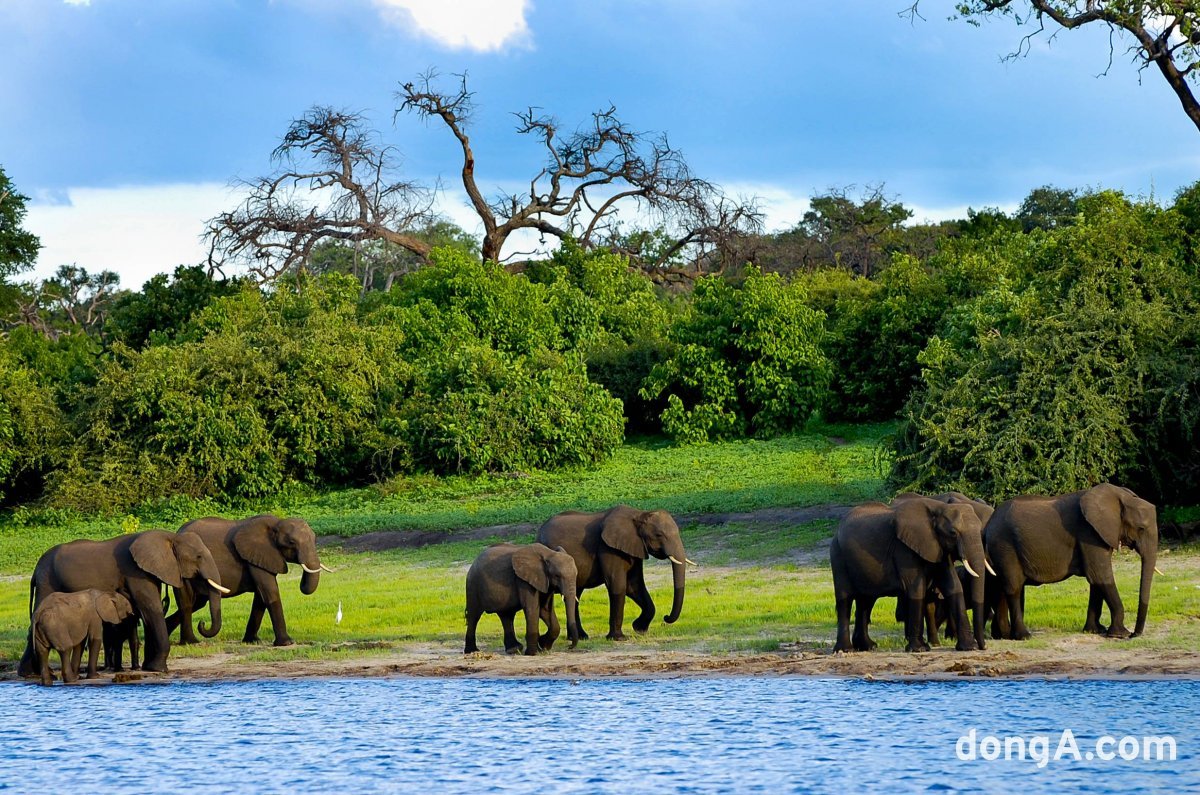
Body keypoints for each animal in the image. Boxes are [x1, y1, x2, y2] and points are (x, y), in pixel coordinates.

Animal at [17, 533, 228, 677]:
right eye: (199, 557)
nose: (202, 624)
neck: (168, 537)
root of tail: (35, 570)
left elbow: (146, 614)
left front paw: (148, 667)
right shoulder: (136, 571)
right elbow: (151, 609)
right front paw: (159, 669)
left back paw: (30, 673)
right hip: (47, 582)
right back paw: (30, 673)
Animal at [164, 516, 331, 648]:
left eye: (315, 539)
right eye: (291, 542)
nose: (202, 623)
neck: (276, 523)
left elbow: (261, 597)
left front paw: (253, 641)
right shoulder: (256, 556)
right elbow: (270, 592)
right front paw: (287, 643)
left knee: (197, 603)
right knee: (187, 602)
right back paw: (189, 642)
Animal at [535, 506, 696, 643]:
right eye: (659, 535)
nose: (666, 617)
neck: (639, 515)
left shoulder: (634, 548)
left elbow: (635, 586)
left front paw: (639, 629)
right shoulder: (608, 548)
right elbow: (618, 585)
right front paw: (619, 638)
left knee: (575, 594)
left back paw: (581, 637)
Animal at [830, 499, 988, 653]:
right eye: (953, 533)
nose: (984, 646)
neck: (938, 507)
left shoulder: (938, 548)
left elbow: (953, 586)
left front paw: (969, 647)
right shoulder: (904, 549)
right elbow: (916, 589)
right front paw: (920, 649)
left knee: (866, 600)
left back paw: (867, 647)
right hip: (838, 555)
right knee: (845, 599)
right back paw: (845, 650)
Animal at [984, 480, 1152, 643]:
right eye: (1141, 528)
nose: (1134, 634)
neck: (1118, 495)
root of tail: (987, 525)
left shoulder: (1096, 535)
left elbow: (1095, 579)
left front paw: (1095, 631)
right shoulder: (1089, 534)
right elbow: (1100, 576)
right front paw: (1120, 634)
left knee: (1000, 588)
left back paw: (1003, 635)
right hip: (1005, 547)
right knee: (1014, 588)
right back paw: (1024, 637)